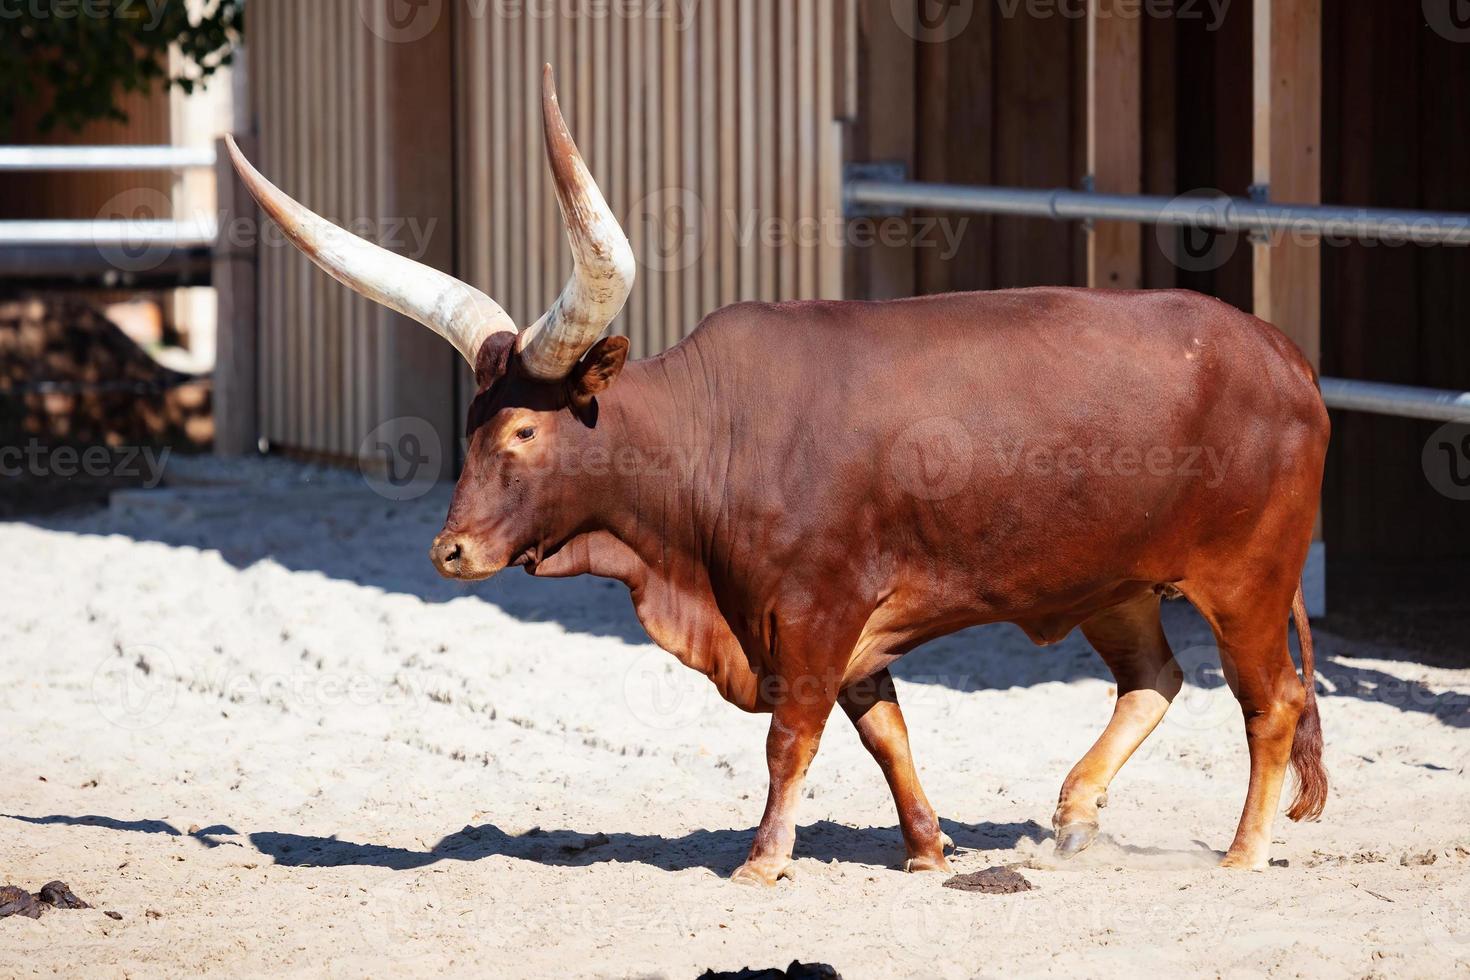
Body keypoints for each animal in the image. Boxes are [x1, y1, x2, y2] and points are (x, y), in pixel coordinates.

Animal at [232, 67, 1334, 881]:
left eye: (525, 432)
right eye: (470, 426)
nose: (450, 549)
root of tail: (1283, 355)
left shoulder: (814, 610)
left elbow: (792, 737)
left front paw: (763, 860)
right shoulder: (843, 628)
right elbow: (885, 731)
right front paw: (927, 851)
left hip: (1246, 579)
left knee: (1270, 702)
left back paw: (1242, 851)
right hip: (1115, 582)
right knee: (1155, 678)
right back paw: (1073, 811)